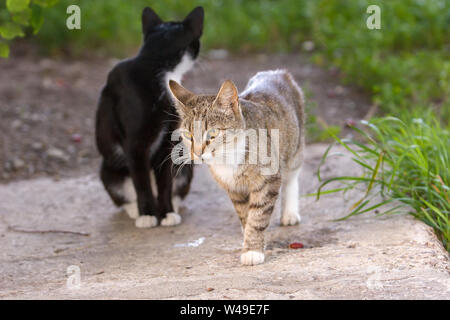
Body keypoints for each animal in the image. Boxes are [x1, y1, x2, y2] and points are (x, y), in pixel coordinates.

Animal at [96, 6, 203, 228]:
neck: (154, 65)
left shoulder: (168, 140)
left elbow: (165, 181)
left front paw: (167, 212)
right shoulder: (134, 143)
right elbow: (141, 181)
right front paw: (147, 215)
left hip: (185, 161)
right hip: (109, 169)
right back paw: (135, 210)